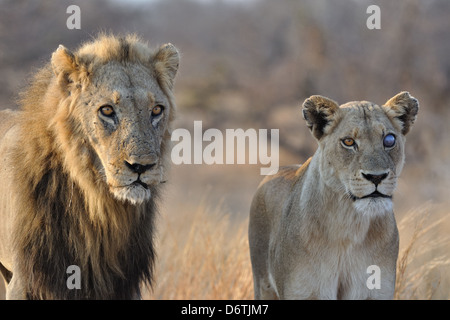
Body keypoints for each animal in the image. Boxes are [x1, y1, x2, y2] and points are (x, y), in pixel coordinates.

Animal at [0, 33, 179, 298]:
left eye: (156, 110)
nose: (141, 167)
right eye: (107, 110)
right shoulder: (26, 278)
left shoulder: (122, 283)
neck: (98, 205)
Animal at [248, 92, 416, 300]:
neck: (350, 224)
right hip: (262, 284)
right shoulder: (304, 291)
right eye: (349, 142)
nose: (376, 177)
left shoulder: (374, 290)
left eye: (389, 140)